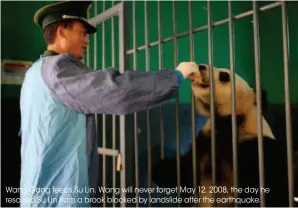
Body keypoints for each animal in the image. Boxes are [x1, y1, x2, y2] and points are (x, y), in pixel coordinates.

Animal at [151, 64, 288, 207]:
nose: (201, 66)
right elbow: (185, 173)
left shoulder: (255, 147)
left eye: (224, 75)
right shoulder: (205, 143)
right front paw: (159, 168)